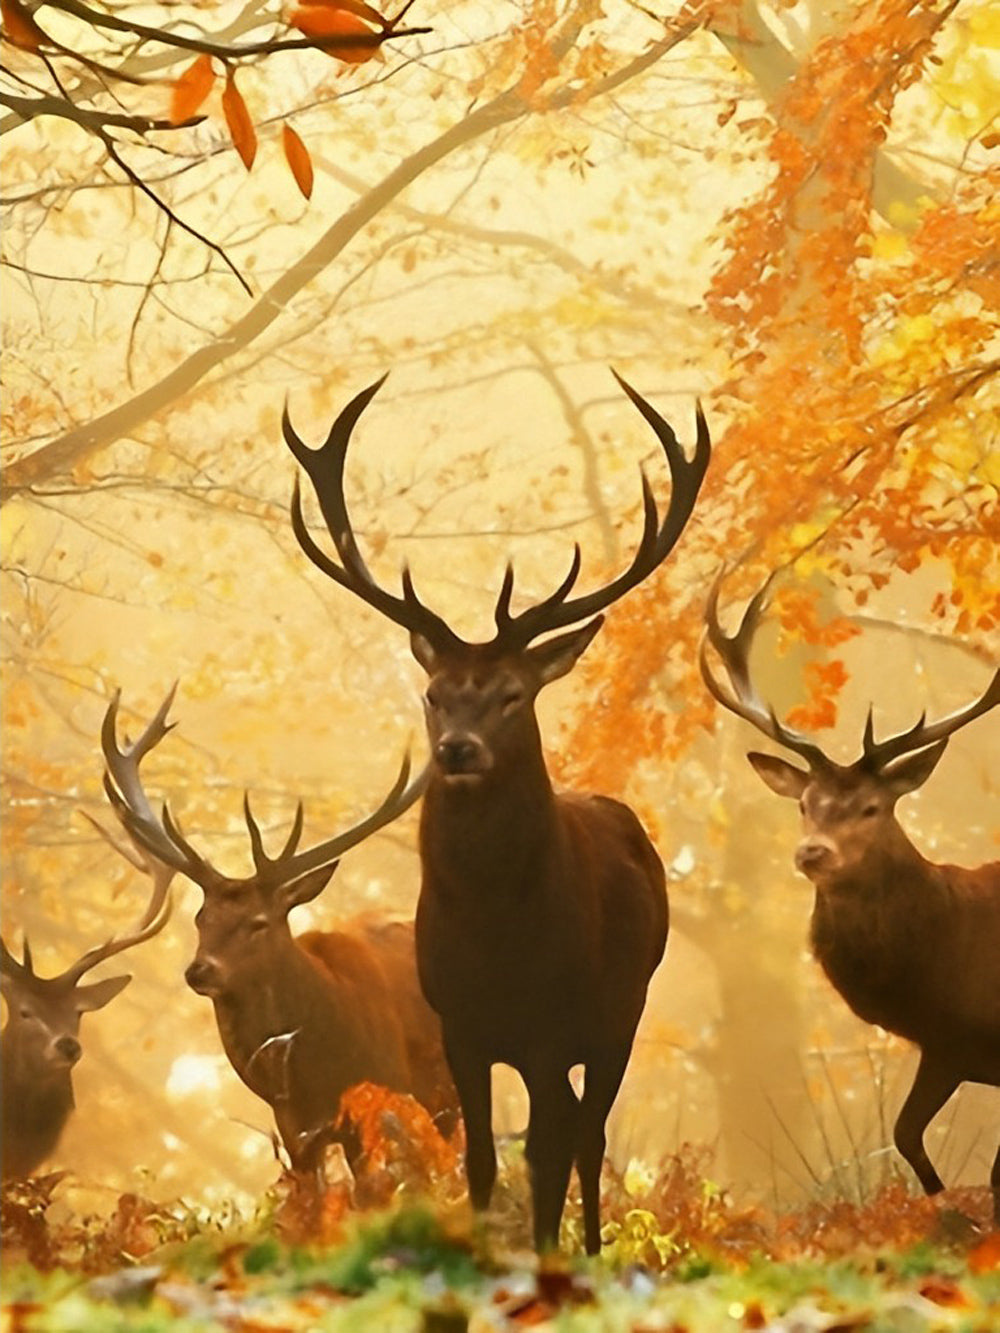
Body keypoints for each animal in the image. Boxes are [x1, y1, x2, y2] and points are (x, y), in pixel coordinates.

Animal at [283, 371, 710, 1252]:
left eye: (513, 694)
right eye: (434, 693)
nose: (457, 750)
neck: (496, 936)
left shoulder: (552, 1022)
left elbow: (545, 1152)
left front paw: (545, 1255)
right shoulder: (460, 1025)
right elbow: (479, 1158)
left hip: (622, 1009)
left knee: (588, 1134)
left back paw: (589, 1247)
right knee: (574, 1128)